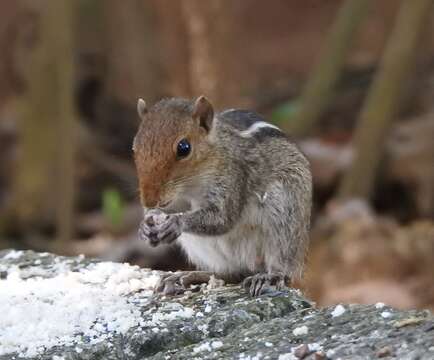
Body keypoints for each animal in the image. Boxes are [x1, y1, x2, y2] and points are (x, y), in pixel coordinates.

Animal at [133, 95, 312, 296]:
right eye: (135, 147)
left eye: (184, 147)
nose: (149, 200)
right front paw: (145, 226)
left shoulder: (234, 176)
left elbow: (222, 218)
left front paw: (176, 222)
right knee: (228, 274)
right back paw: (187, 276)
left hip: (285, 218)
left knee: (282, 265)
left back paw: (269, 277)